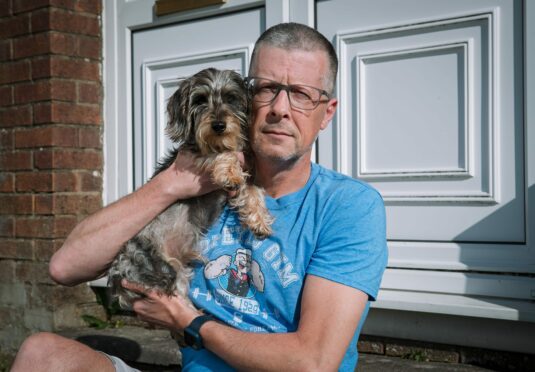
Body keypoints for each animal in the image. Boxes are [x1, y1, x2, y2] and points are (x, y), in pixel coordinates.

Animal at [109, 68, 276, 310]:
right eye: (200, 100)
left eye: (231, 98)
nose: (218, 126)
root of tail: (116, 276)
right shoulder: (194, 155)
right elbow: (220, 155)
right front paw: (230, 171)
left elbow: (252, 190)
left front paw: (259, 221)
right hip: (166, 270)